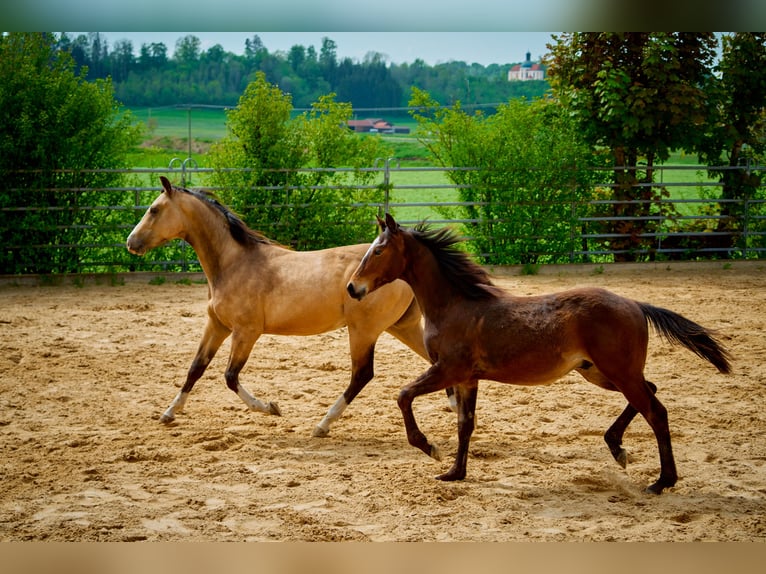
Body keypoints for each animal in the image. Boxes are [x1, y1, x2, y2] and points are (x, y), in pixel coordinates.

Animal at [126, 178, 438, 438]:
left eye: (153, 209)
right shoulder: (217, 326)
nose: (131, 243)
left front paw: (270, 407)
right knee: (435, 363)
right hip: (402, 327)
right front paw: (169, 413)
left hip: (364, 331)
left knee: (362, 375)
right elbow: (196, 368)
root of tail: (404, 273)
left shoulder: (246, 332)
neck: (233, 264)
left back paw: (322, 425)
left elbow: (230, 376)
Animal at [348, 216, 732, 496]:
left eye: (379, 251)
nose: (353, 288)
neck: (456, 305)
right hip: (600, 372)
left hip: (618, 371)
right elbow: (465, 424)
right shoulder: (468, 379)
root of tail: (635, 304)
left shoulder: (449, 370)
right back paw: (618, 448)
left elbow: (403, 395)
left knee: (656, 411)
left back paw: (661, 481)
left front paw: (429, 448)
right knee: (649, 393)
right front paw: (455, 472)